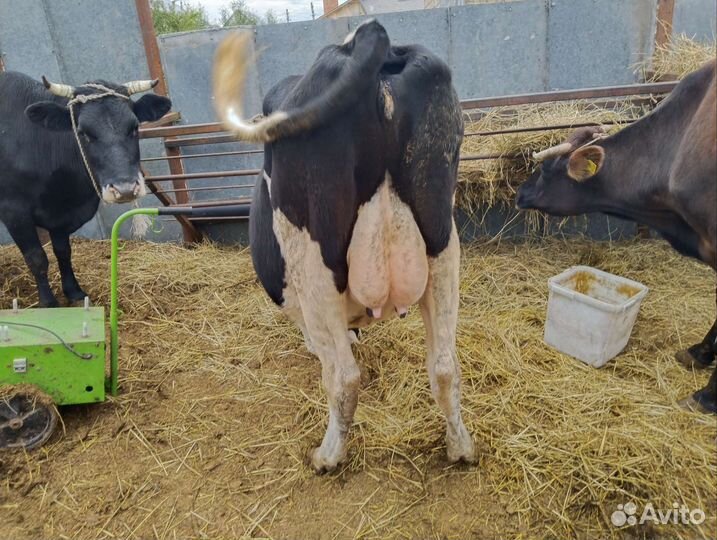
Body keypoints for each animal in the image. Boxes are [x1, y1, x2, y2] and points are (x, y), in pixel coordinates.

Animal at [0, 72, 172, 307]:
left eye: (135, 127)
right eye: (83, 132)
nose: (125, 189)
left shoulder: (60, 216)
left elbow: (63, 252)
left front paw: (74, 291)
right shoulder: (14, 212)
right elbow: (37, 259)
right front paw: (49, 303)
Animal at [212, 20, 476, 472]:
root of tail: (368, 37)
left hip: (313, 262)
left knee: (344, 378)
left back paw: (328, 455)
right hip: (443, 242)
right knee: (444, 366)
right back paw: (461, 447)